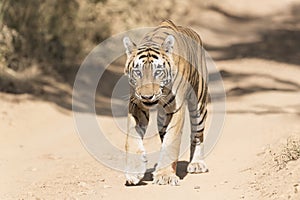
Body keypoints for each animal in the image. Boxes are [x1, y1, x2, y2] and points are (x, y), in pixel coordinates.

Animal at [123, 19, 207, 185]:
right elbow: (132, 138)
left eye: (158, 72)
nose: (147, 96)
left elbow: (172, 142)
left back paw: (196, 164)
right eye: (138, 72)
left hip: (199, 104)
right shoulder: (136, 106)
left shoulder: (176, 109)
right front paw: (133, 172)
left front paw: (165, 176)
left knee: (197, 134)